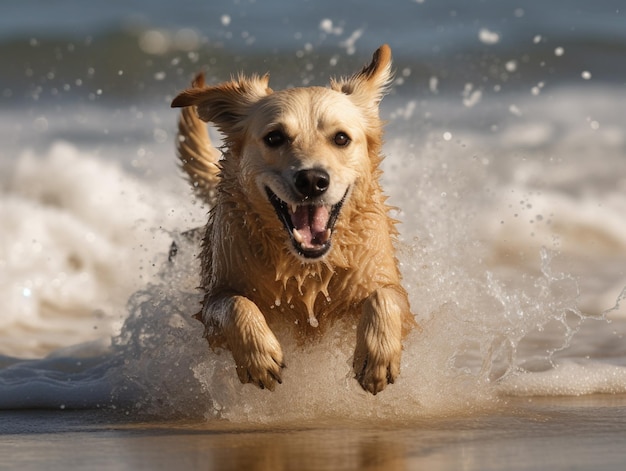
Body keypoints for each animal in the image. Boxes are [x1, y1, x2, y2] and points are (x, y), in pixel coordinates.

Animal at [171, 44, 414, 394]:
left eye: (341, 138)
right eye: (275, 138)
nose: (312, 180)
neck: (307, 266)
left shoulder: (387, 286)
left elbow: (385, 297)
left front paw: (377, 356)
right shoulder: (214, 302)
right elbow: (234, 303)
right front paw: (259, 355)